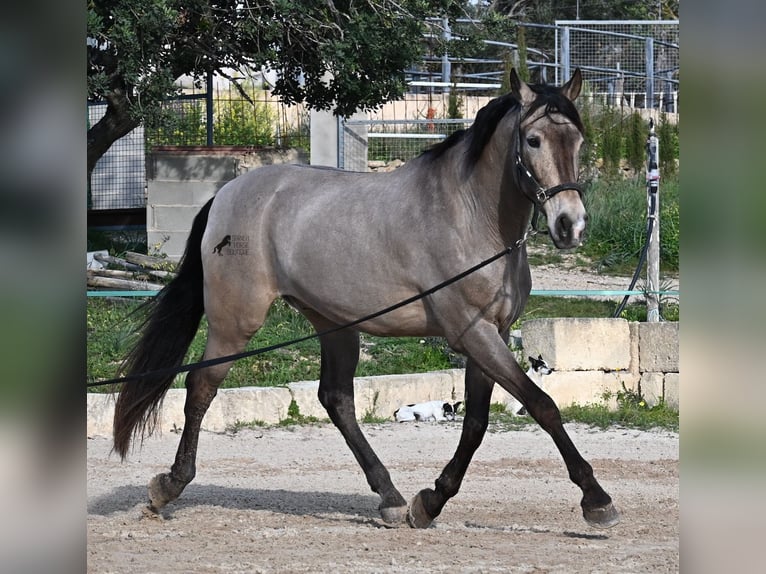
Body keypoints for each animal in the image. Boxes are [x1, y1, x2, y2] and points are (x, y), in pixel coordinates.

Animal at [112, 70, 624, 532]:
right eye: (533, 140)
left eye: (578, 140)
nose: (570, 226)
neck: (472, 217)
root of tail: (225, 194)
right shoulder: (473, 333)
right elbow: (542, 405)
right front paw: (597, 501)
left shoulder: (491, 334)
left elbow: (477, 424)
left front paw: (429, 502)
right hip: (235, 321)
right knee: (201, 387)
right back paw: (168, 487)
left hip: (333, 323)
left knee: (336, 400)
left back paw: (391, 498)